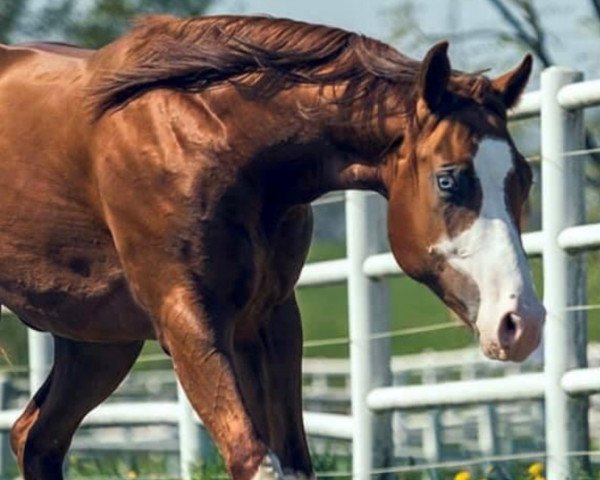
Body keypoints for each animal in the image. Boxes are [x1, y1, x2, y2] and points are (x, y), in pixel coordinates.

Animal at [0, 15, 544, 480]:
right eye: (448, 179)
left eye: (525, 178)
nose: (521, 323)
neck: (215, 143)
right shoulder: (187, 319)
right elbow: (255, 460)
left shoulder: (269, 319)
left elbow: (294, 460)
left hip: (97, 343)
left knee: (36, 438)